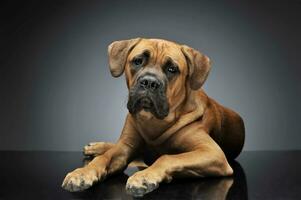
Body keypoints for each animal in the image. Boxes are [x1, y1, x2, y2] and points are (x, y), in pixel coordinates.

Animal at [61, 38, 244, 197]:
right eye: (138, 61)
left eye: (172, 69)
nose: (149, 82)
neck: (154, 122)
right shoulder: (125, 147)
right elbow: (104, 158)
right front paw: (82, 173)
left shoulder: (212, 153)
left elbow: (166, 157)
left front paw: (144, 177)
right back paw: (96, 147)